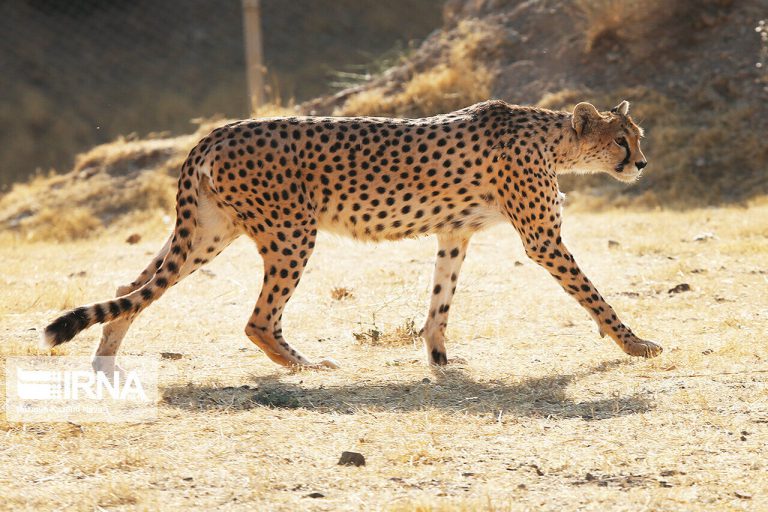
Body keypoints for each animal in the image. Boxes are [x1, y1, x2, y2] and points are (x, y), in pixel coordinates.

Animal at [45, 99, 664, 368]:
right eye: (621, 140)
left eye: (637, 137)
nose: (641, 163)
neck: (553, 139)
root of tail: (216, 131)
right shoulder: (541, 240)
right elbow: (594, 295)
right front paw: (635, 343)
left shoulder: (454, 233)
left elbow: (440, 299)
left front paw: (438, 356)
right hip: (291, 232)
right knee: (256, 320)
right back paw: (304, 364)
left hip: (207, 233)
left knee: (132, 288)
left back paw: (106, 356)